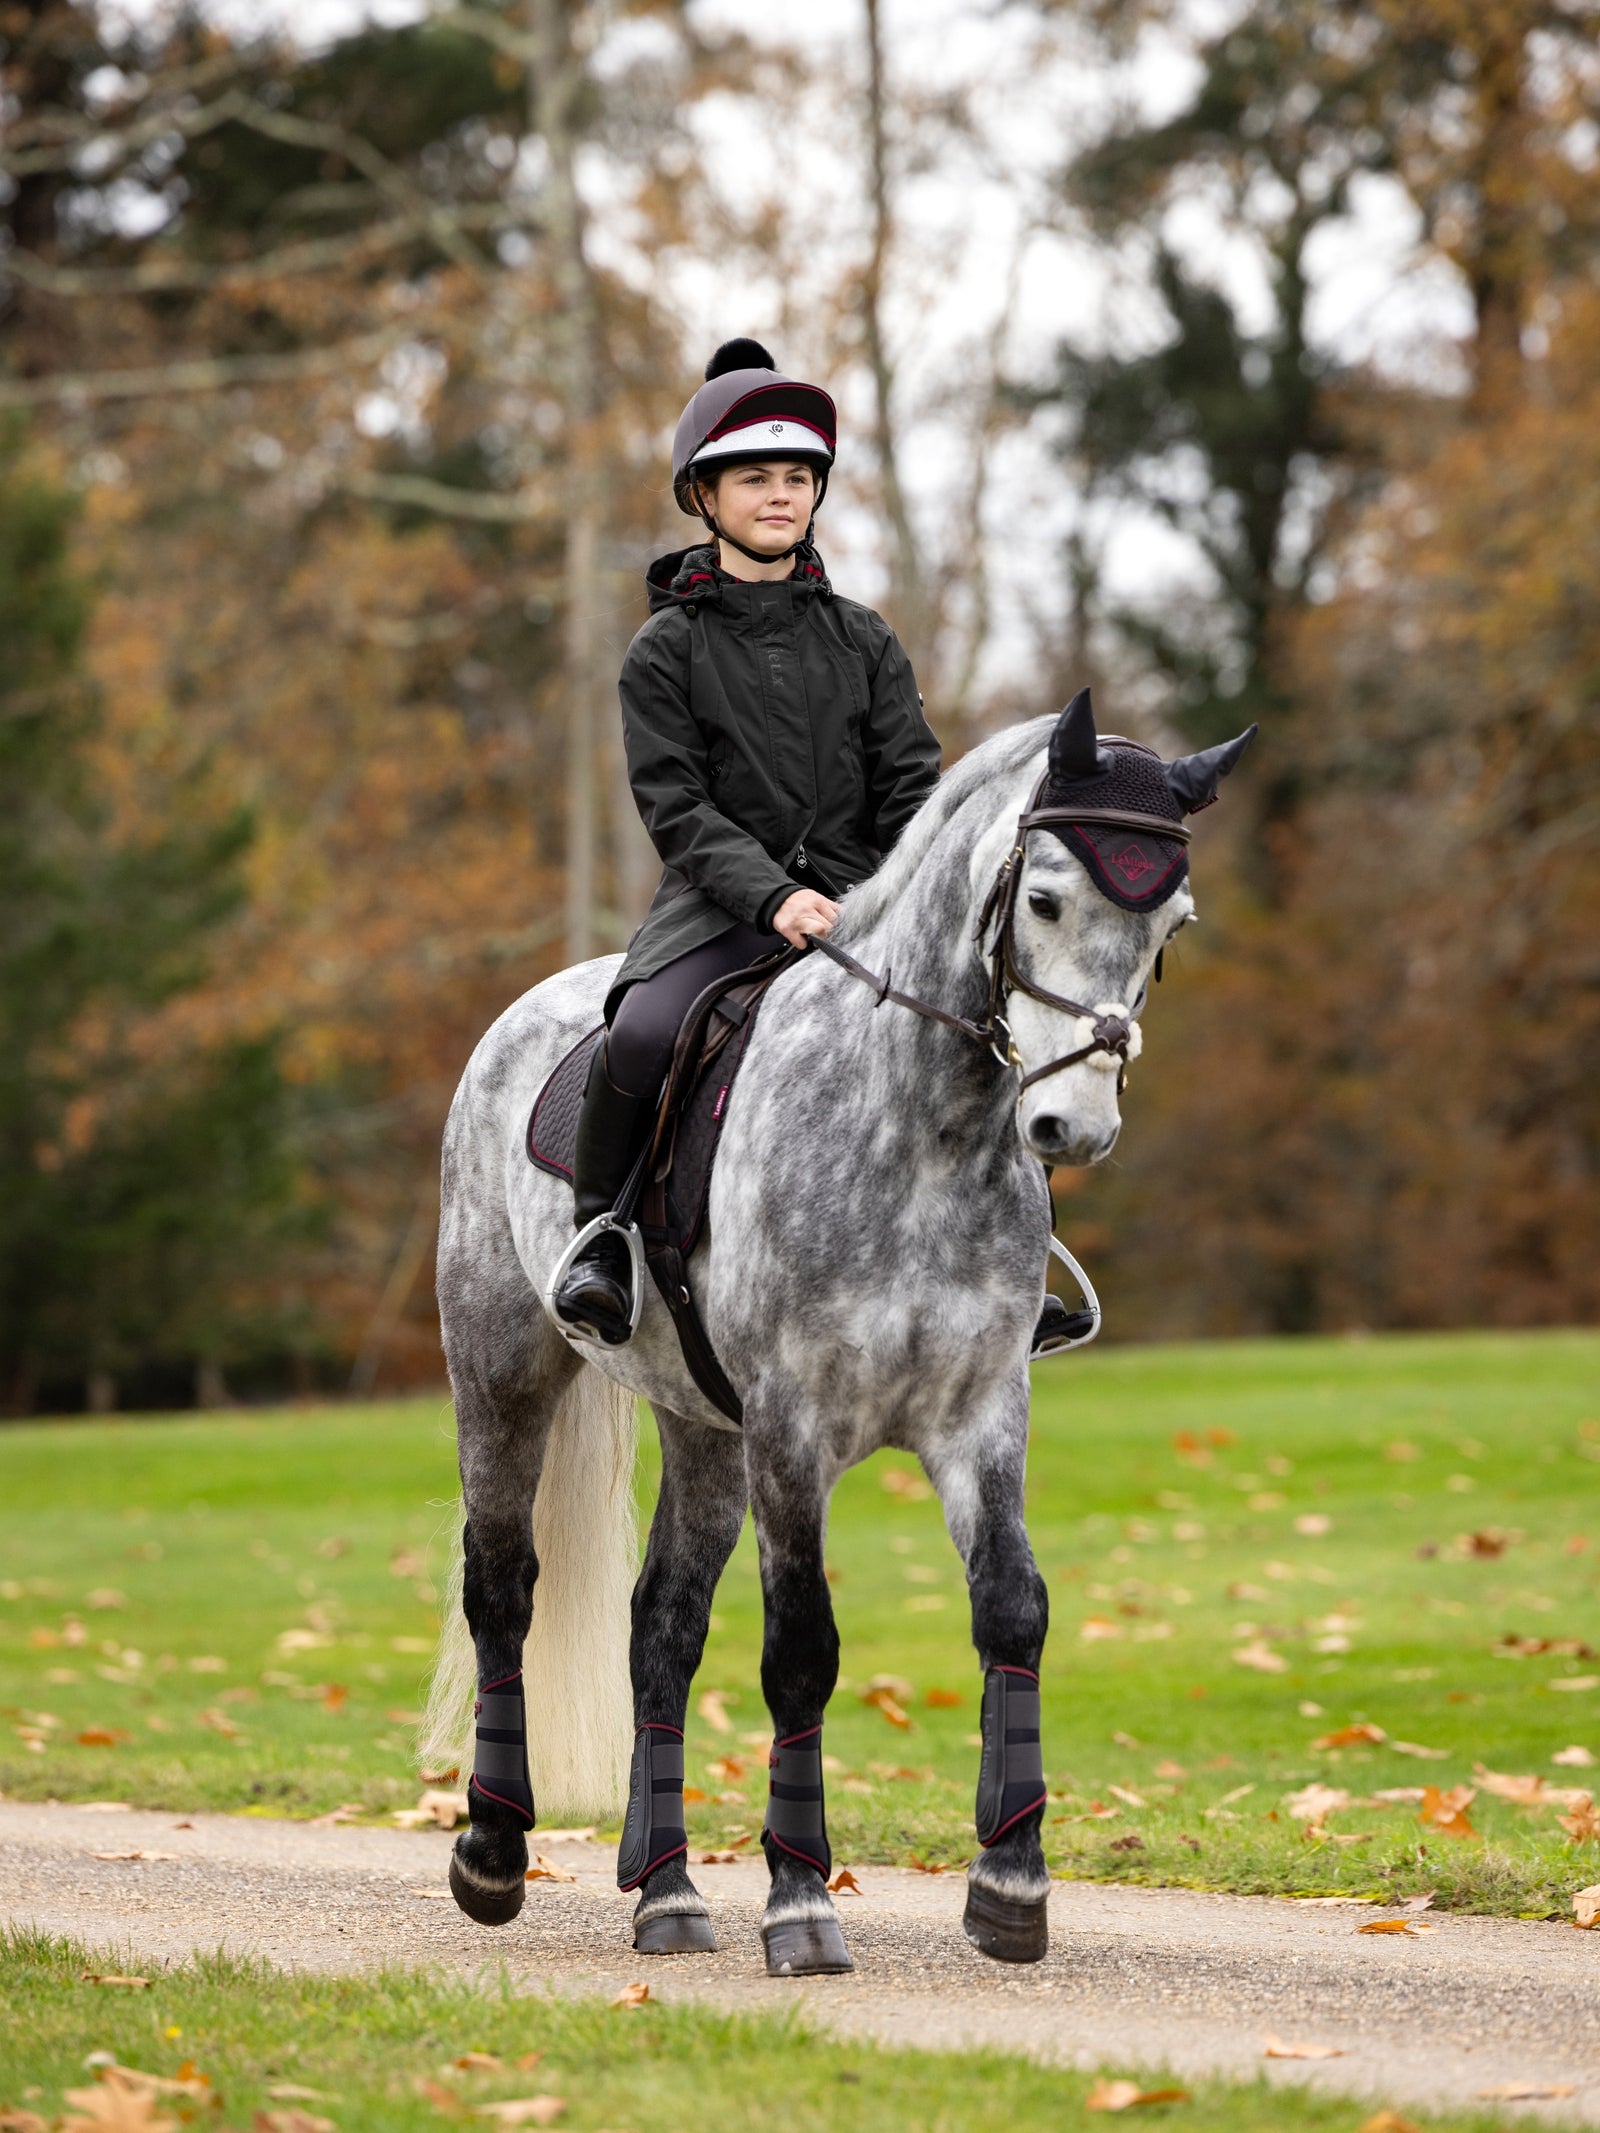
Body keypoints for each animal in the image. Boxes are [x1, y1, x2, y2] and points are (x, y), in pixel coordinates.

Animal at [423, 689, 1253, 1976]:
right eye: (1045, 898)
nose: (1072, 1125)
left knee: (661, 1627)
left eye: (1172, 922)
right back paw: (494, 1857)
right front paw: (802, 1904)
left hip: (704, 1430)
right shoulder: (792, 1430)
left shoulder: (978, 1418)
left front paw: (1010, 1887)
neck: (920, 1130)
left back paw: (665, 1893)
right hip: (507, 1373)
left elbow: (1013, 1607)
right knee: (503, 1586)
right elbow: (802, 1649)